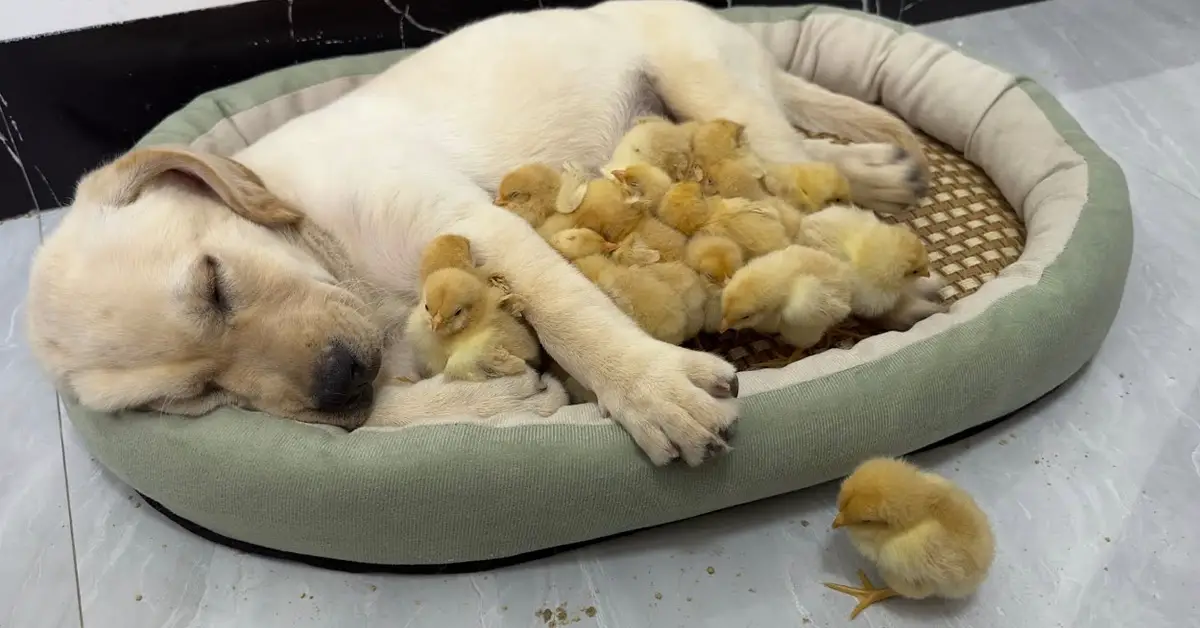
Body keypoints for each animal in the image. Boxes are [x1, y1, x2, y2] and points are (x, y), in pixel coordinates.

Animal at [28, 0, 926, 465]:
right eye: (190, 397)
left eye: (214, 282)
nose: (337, 381)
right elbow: (373, 421)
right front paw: (487, 400)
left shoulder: (472, 226)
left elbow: (572, 314)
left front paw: (648, 388)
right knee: (806, 162)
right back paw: (888, 177)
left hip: (707, 84)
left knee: (804, 170)